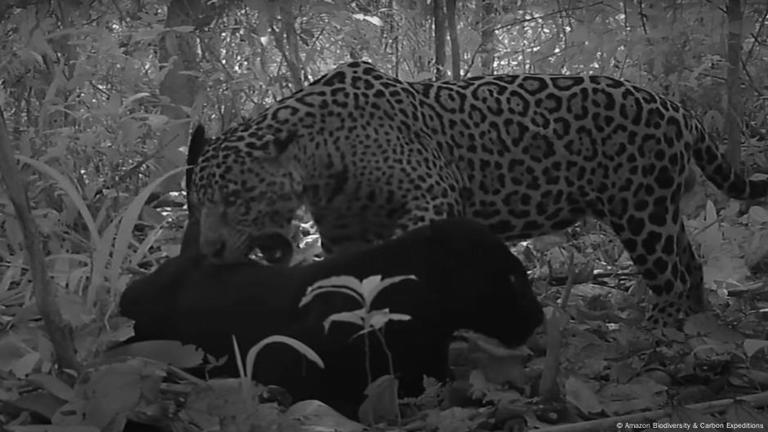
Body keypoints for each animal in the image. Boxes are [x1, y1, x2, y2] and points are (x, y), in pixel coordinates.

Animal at [191, 60, 768, 326]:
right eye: (201, 202)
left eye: (236, 198)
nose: (210, 250)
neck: (319, 156)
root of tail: (676, 108)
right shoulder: (341, 234)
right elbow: (346, 274)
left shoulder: (434, 192)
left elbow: (404, 243)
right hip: (659, 208)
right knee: (690, 261)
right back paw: (696, 320)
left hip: (640, 210)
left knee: (669, 273)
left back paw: (657, 331)